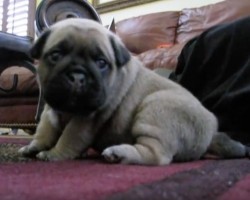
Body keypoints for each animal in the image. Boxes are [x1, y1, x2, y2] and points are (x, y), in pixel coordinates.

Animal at [18, 18, 248, 165]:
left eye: (101, 63)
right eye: (55, 55)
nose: (78, 75)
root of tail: (210, 132)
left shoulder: (86, 119)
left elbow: (69, 137)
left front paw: (54, 154)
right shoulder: (51, 110)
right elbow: (45, 130)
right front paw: (35, 146)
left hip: (155, 108)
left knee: (156, 155)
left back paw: (118, 154)